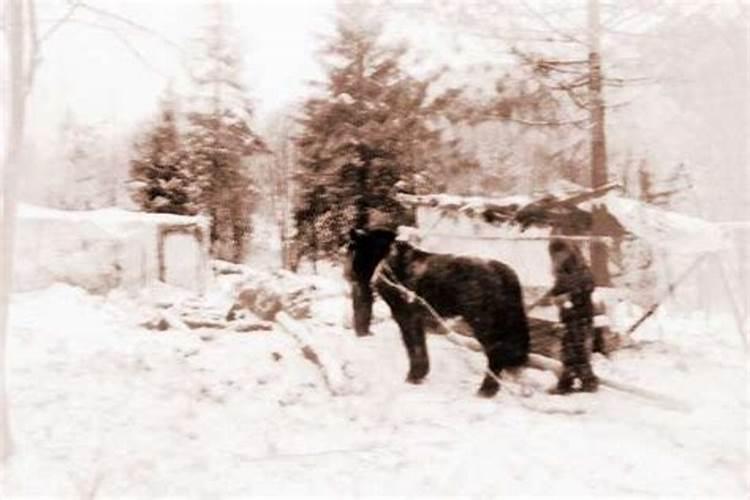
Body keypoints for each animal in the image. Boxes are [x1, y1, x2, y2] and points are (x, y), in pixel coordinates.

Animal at [350, 229, 532, 396]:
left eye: (354, 250)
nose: (351, 273)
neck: (388, 261)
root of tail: (506, 272)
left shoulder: (406, 315)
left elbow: (414, 346)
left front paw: (414, 376)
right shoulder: (418, 318)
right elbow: (420, 346)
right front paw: (420, 375)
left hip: (484, 324)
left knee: (496, 354)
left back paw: (485, 390)